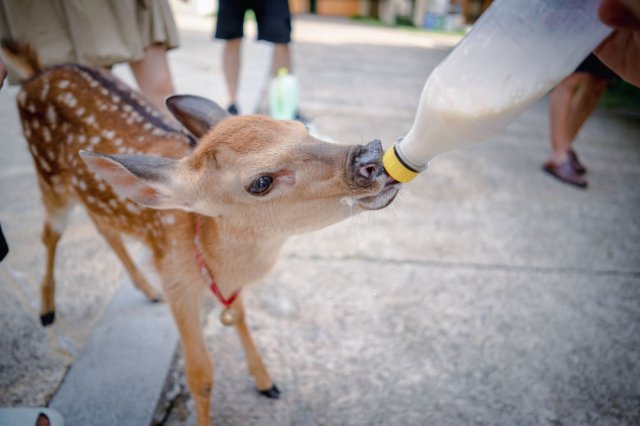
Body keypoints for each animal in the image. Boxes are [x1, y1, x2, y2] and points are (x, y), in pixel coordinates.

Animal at [5, 40, 400, 426]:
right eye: (261, 182)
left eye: (300, 127)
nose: (372, 156)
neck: (211, 254)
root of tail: (35, 73)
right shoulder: (176, 279)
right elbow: (201, 375)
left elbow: (239, 316)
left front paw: (266, 382)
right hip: (50, 179)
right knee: (50, 234)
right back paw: (47, 311)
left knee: (104, 226)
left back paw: (146, 290)